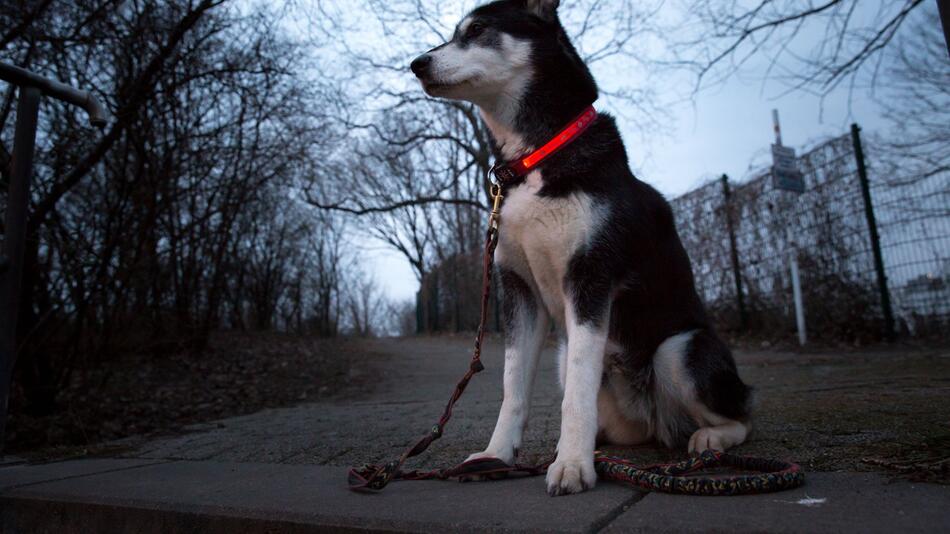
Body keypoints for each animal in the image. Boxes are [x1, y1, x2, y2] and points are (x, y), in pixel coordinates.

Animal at [412, 0, 756, 498]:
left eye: (476, 30)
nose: (416, 64)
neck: (535, 156)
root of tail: (655, 424)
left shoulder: (589, 277)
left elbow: (576, 393)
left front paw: (572, 465)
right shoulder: (519, 291)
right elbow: (513, 388)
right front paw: (496, 455)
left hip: (679, 349)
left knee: (742, 414)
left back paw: (708, 437)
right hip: (575, 361)